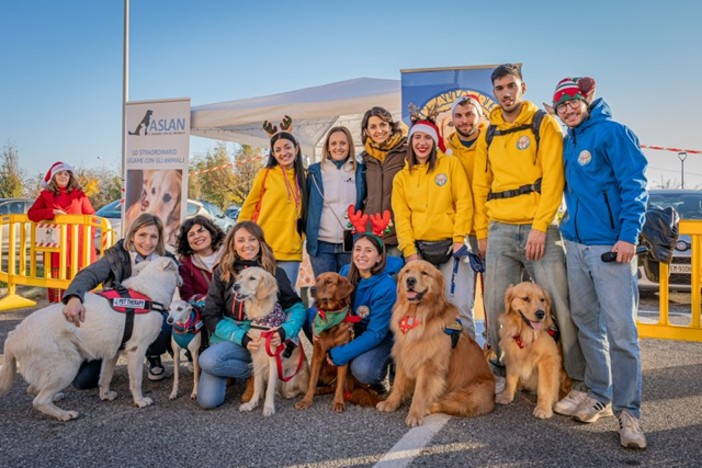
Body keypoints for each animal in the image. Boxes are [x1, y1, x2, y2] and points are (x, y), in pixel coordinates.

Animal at [0, 256, 184, 420]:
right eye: (178, 268)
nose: (182, 279)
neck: (149, 291)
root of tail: (13, 335)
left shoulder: (113, 354)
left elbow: (105, 377)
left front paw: (105, 395)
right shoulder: (136, 351)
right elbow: (136, 380)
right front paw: (139, 401)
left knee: (32, 390)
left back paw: (56, 398)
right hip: (68, 366)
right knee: (39, 401)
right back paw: (64, 414)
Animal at [238, 266, 310, 416]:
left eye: (252, 278)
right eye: (240, 277)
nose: (235, 286)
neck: (262, 318)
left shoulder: (273, 359)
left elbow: (270, 386)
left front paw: (268, 407)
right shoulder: (256, 357)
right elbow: (257, 385)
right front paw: (252, 403)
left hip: (292, 374)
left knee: (299, 389)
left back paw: (290, 393)